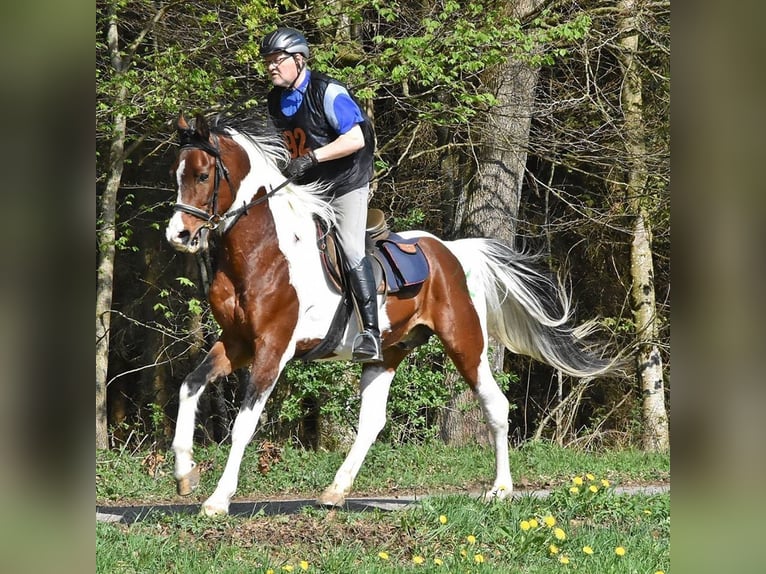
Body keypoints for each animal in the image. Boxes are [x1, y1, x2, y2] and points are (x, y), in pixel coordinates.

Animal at [164, 113, 620, 516]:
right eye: (176, 173)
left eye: (203, 176)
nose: (178, 235)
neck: (264, 251)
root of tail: (453, 251)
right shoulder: (238, 342)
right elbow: (190, 385)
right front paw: (185, 473)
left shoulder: (273, 348)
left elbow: (243, 424)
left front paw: (218, 500)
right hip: (388, 350)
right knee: (372, 421)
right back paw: (336, 490)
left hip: (465, 342)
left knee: (496, 405)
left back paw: (501, 489)